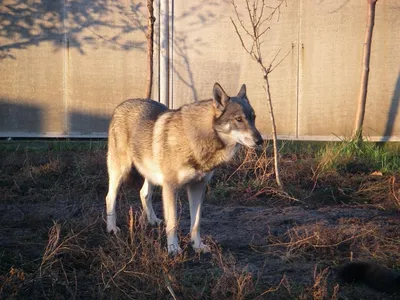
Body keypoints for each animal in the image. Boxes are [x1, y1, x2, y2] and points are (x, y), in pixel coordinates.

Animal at [105, 83, 262, 254]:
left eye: (253, 118)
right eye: (239, 119)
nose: (260, 140)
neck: (195, 140)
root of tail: (121, 105)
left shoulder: (198, 187)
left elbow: (196, 222)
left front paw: (198, 246)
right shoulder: (170, 187)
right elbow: (173, 223)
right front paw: (173, 249)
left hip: (150, 174)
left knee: (144, 193)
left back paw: (153, 220)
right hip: (120, 171)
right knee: (110, 197)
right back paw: (112, 228)